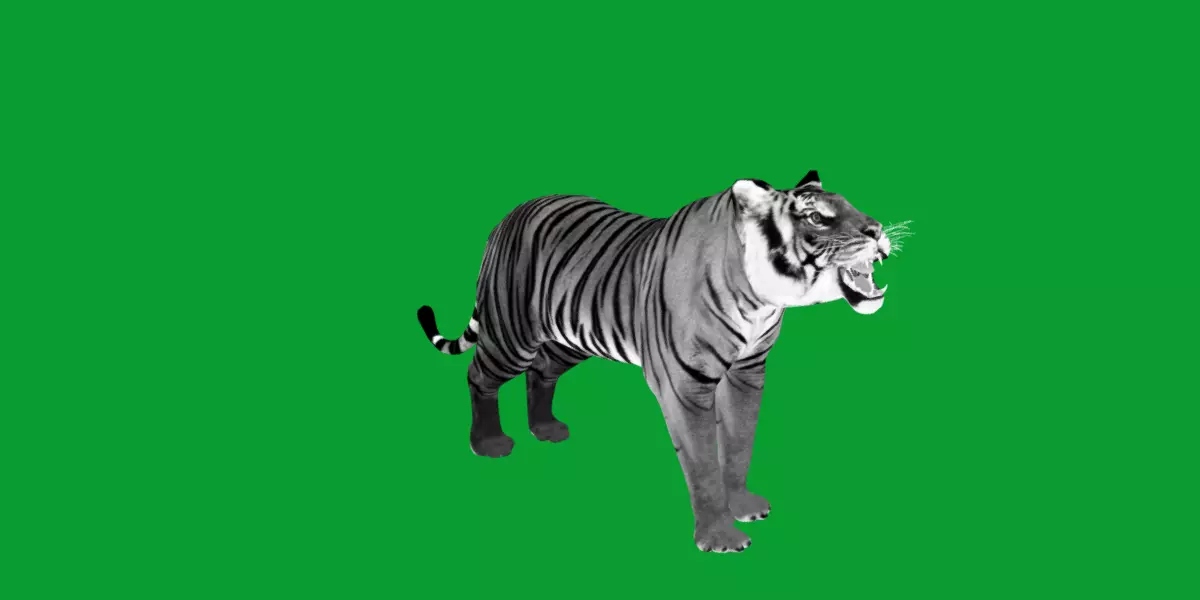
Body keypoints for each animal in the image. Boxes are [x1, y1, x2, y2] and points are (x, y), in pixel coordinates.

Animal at [416, 171, 907, 552]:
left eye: (851, 205)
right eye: (817, 217)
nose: (878, 231)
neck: (760, 301)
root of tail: (511, 213)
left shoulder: (747, 373)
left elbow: (739, 443)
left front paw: (743, 505)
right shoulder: (685, 384)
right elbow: (703, 462)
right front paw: (719, 537)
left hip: (569, 339)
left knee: (540, 372)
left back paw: (546, 429)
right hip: (512, 333)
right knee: (479, 375)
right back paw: (488, 442)